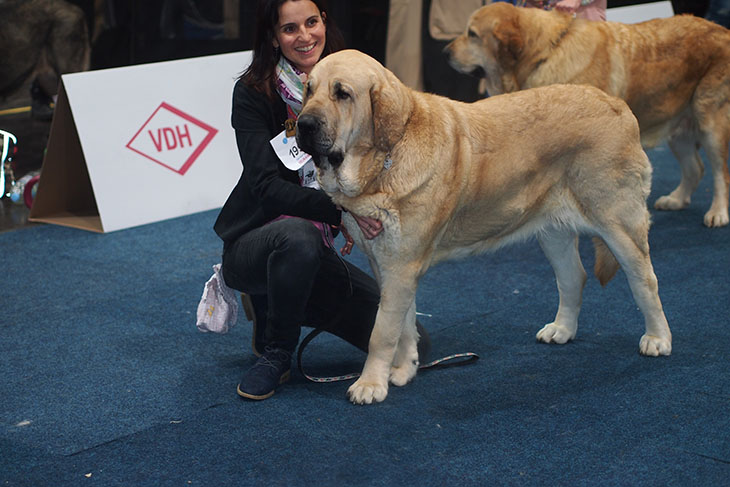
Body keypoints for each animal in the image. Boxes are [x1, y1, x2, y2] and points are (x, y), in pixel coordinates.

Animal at [292, 50, 668, 408]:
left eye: (342, 93)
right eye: (309, 90)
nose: (304, 124)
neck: (384, 159)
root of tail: (617, 105)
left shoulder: (400, 267)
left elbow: (382, 331)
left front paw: (371, 385)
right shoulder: (390, 267)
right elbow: (404, 324)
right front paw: (403, 369)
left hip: (618, 224)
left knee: (645, 280)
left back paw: (658, 338)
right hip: (553, 232)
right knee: (574, 277)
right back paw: (562, 330)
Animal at [440, 2, 728, 228]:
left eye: (472, 34)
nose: (445, 52)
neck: (545, 53)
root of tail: (722, 29)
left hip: (710, 121)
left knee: (719, 171)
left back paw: (718, 213)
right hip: (678, 123)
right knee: (696, 167)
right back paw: (676, 199)